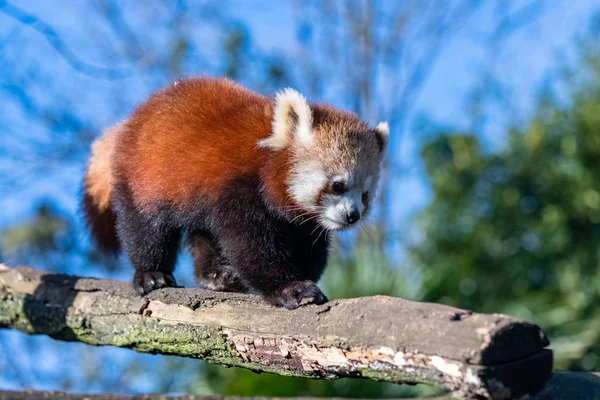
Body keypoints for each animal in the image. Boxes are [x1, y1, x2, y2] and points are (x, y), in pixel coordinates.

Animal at [83, 77, 390, 310]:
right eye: (337, 185)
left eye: (365, 195)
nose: (352, 216)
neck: (265, 162)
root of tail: (130, 121)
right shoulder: (239, 191)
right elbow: (251, 248)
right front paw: (290, 288)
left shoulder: (298, 222)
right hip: (144, 177)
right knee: (145, 228)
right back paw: (151, 273)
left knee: (202, 234)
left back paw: (215, 275)